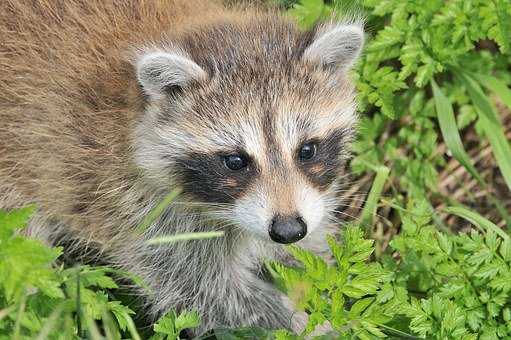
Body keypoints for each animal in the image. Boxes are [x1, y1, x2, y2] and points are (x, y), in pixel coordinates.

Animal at [0, 0, 364, 334]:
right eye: (235, 161)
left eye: (307, 150)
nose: (288, 230)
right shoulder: (137, 208)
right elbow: (211, 294)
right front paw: (313, 328)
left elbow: (309, 255)